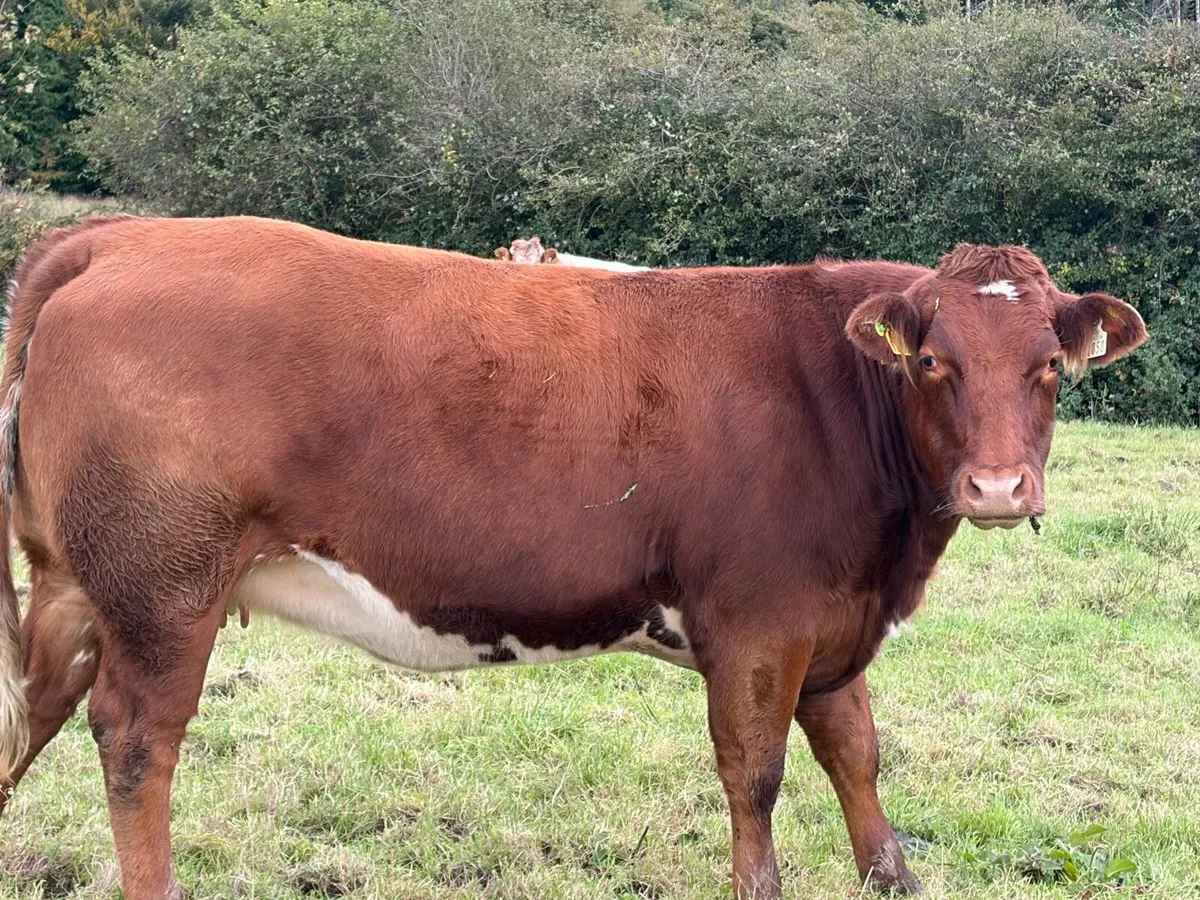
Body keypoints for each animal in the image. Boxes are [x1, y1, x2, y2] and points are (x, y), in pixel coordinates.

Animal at [0, 216, 1146, 900]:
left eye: (1050, 366)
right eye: (936, 363)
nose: (998, 488)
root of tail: (122, 234)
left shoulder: (833, 626)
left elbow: (856, 757)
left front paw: (893, 878)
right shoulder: (759, 623)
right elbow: (756, 776)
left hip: (72, 588)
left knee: (30, 713)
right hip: (163, 589)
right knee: (136, 742)